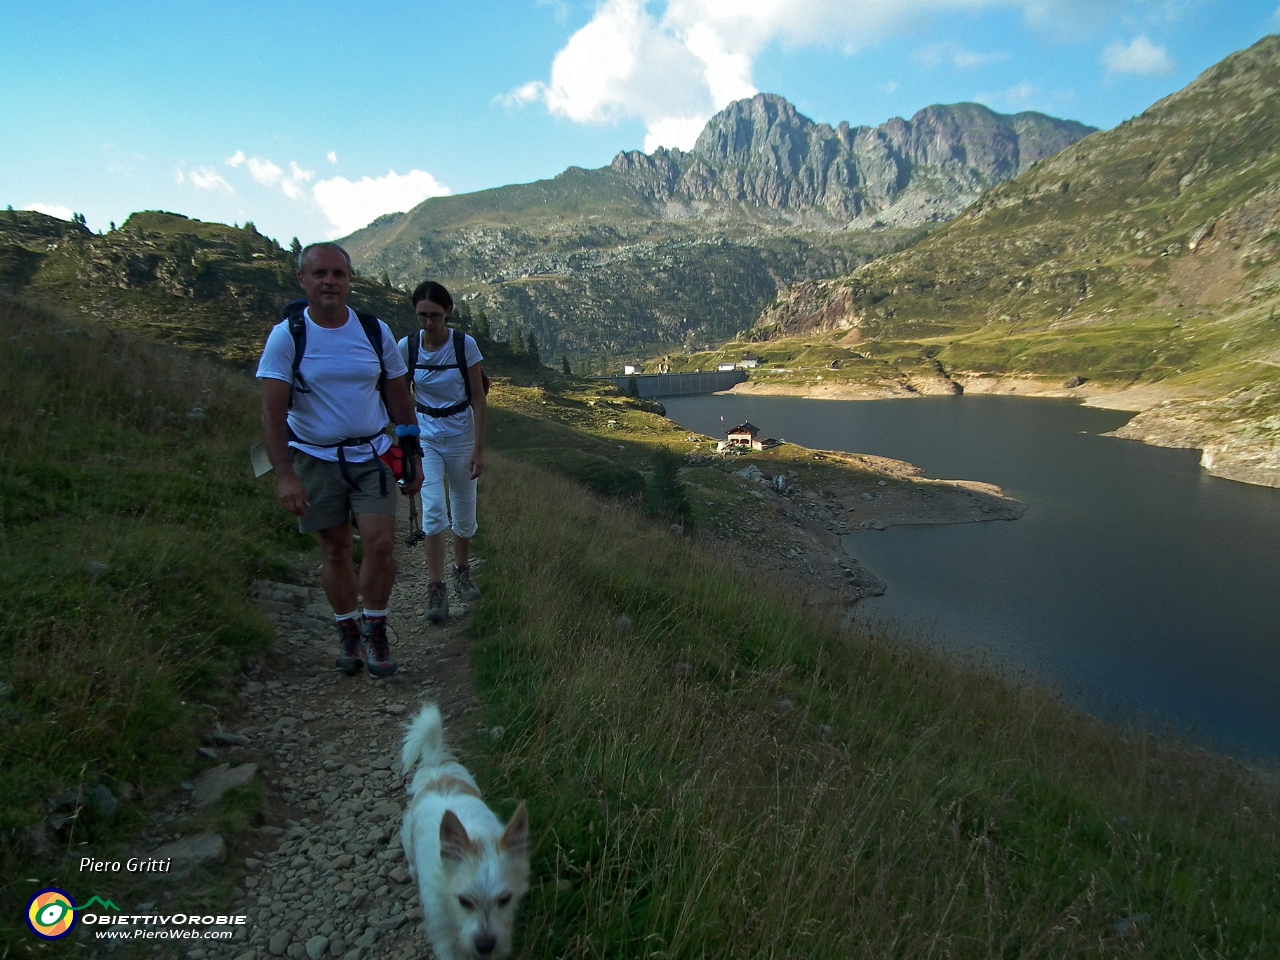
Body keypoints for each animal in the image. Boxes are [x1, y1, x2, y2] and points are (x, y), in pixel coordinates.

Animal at [401, 706, 532, 960]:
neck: (478, 839)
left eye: (505, 899)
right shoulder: (444, 935)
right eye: (463, 901)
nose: (484, 945)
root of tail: (436, 766)